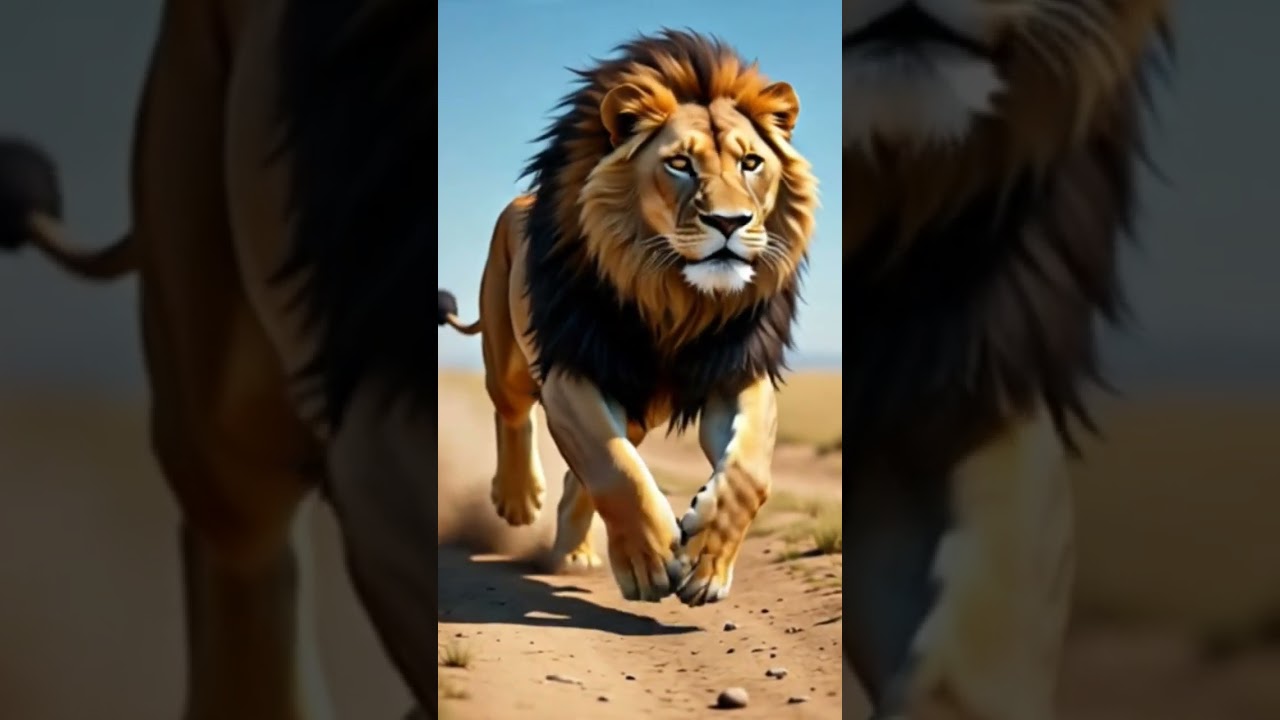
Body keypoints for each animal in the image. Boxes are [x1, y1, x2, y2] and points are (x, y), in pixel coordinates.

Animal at [437, 29, 817, 607]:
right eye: (680, 164)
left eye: (751, 163)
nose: (730, 222)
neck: (674, 298)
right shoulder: (573, 367)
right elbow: (612, 464)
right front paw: (651, 559)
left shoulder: (735, 369)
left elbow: (749, 472)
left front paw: (705, 564)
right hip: (510, 356)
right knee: (512, 412)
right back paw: (519, 498)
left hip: (641, 410)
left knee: (579, 477)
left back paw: (573, 553)